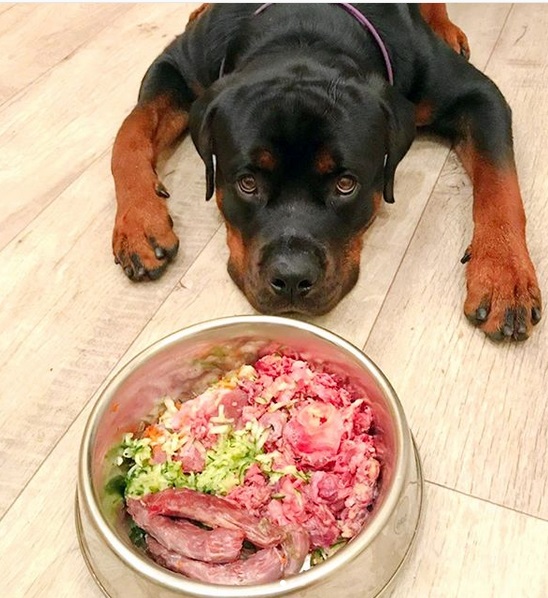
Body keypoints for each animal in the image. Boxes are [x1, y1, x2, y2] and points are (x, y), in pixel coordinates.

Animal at [111, 2, 540, 342]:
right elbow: (129, 132)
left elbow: (500, 181)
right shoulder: (178, 66)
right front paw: (140, 223)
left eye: (346, 184)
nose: (291, 278)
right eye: (247, 183)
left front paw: (504, 275)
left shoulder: (478, 95)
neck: (304, 30)